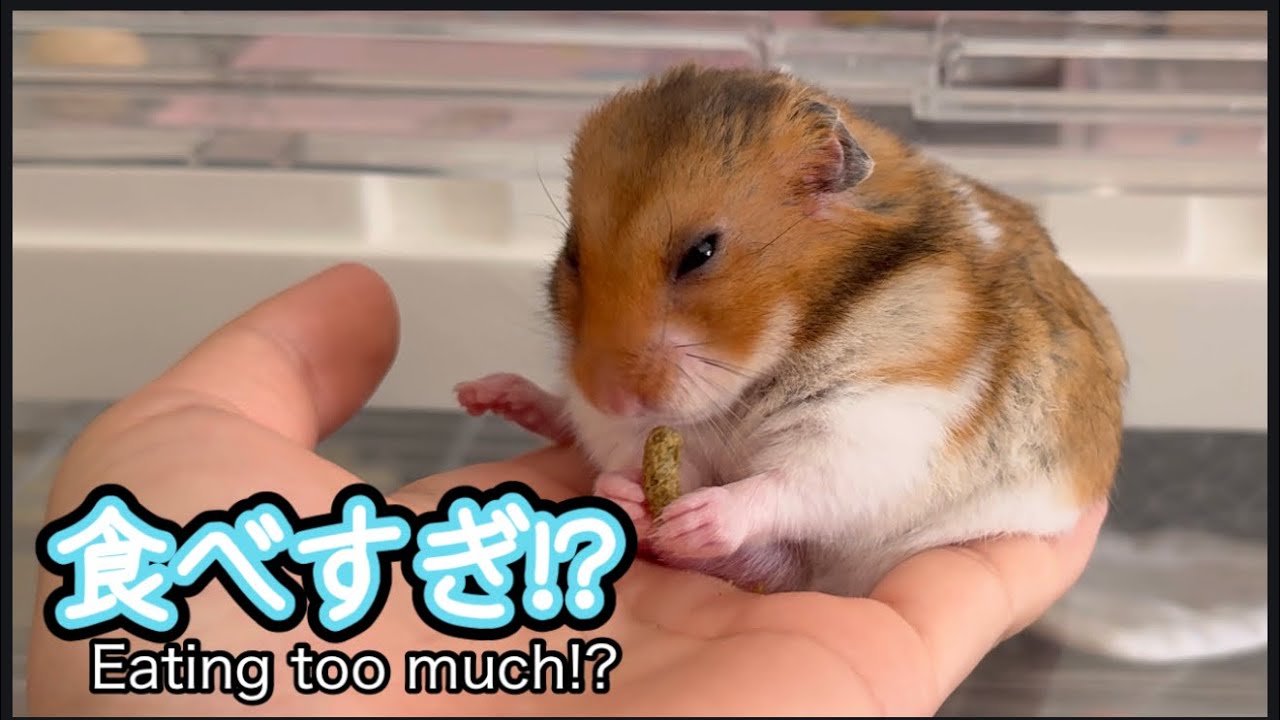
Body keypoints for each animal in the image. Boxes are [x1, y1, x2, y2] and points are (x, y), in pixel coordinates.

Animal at [454, 62, 1128, 597]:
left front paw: (700, 516)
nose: (609, 398)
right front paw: (627, 491)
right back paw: (491, 394)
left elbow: (793, 483)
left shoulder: (878, 420)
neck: (775, 354)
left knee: (777, 563)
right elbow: (648, 450)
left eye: (700, 252)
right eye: (572, 254)